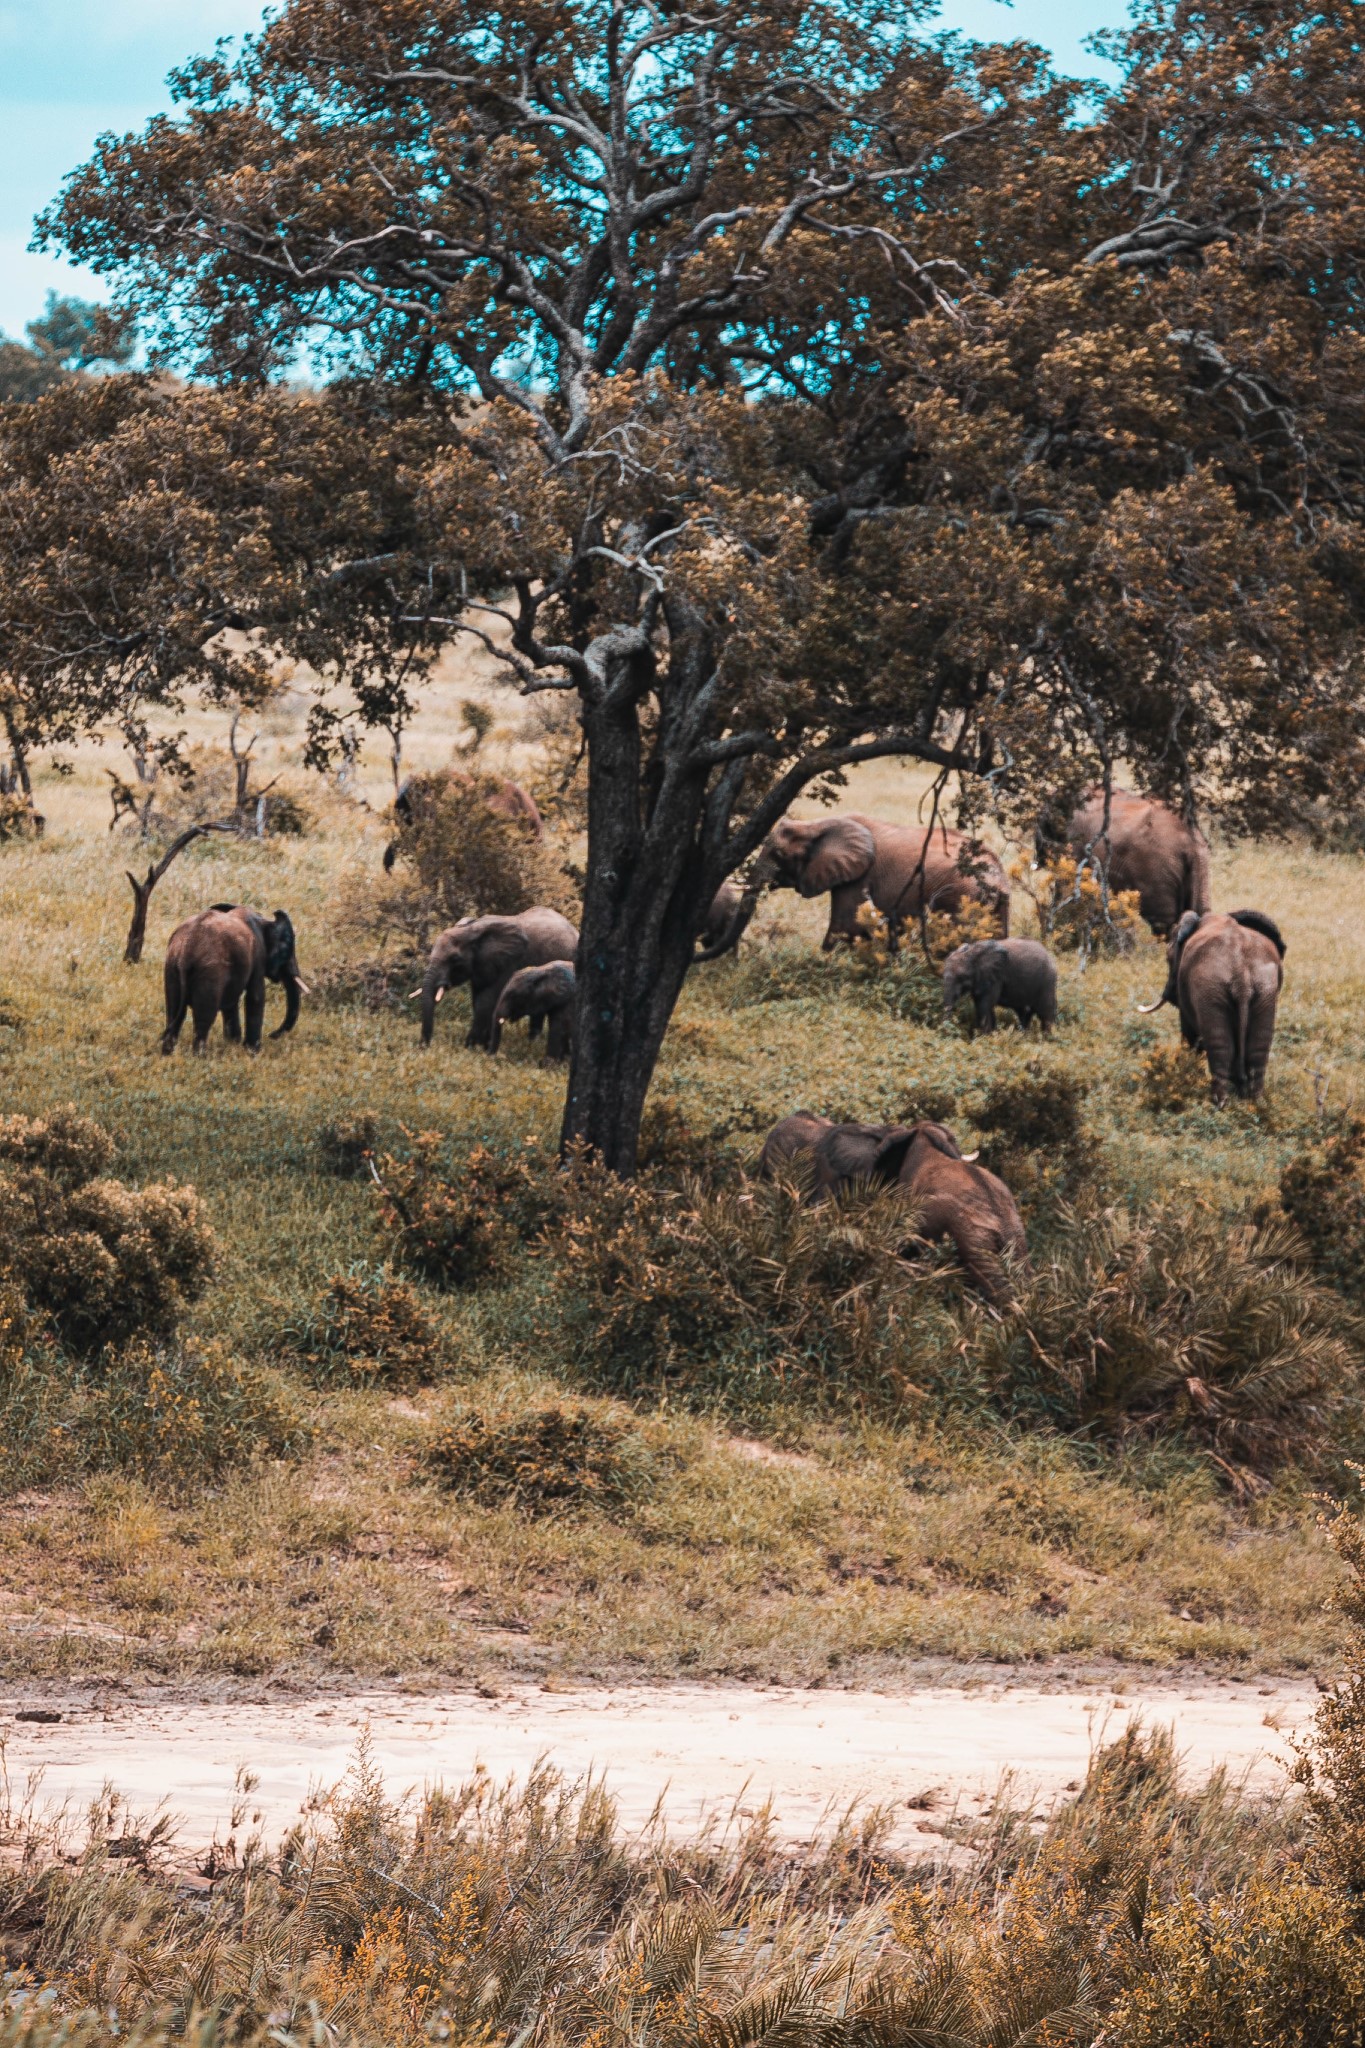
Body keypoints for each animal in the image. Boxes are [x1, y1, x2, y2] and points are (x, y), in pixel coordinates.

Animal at [161, 905, 309, 1056]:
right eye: (287, 950)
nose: (272, 1035)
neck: (265, 921)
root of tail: (186, 950)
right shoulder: (258, 955)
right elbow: (256, 997)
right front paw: (252, 1052)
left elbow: (231, 1002)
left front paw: (233, 1045)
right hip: (209, 970)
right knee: (204, 1016)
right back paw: (200, 1056)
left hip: (172, 965)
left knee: (174, 1010)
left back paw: (167, 1054)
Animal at [703, 811, 1015, 954]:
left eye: (779, 855)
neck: (819, 824)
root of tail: (997, 873)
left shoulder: (858, 877)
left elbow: (846, 927)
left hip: (963, 897)